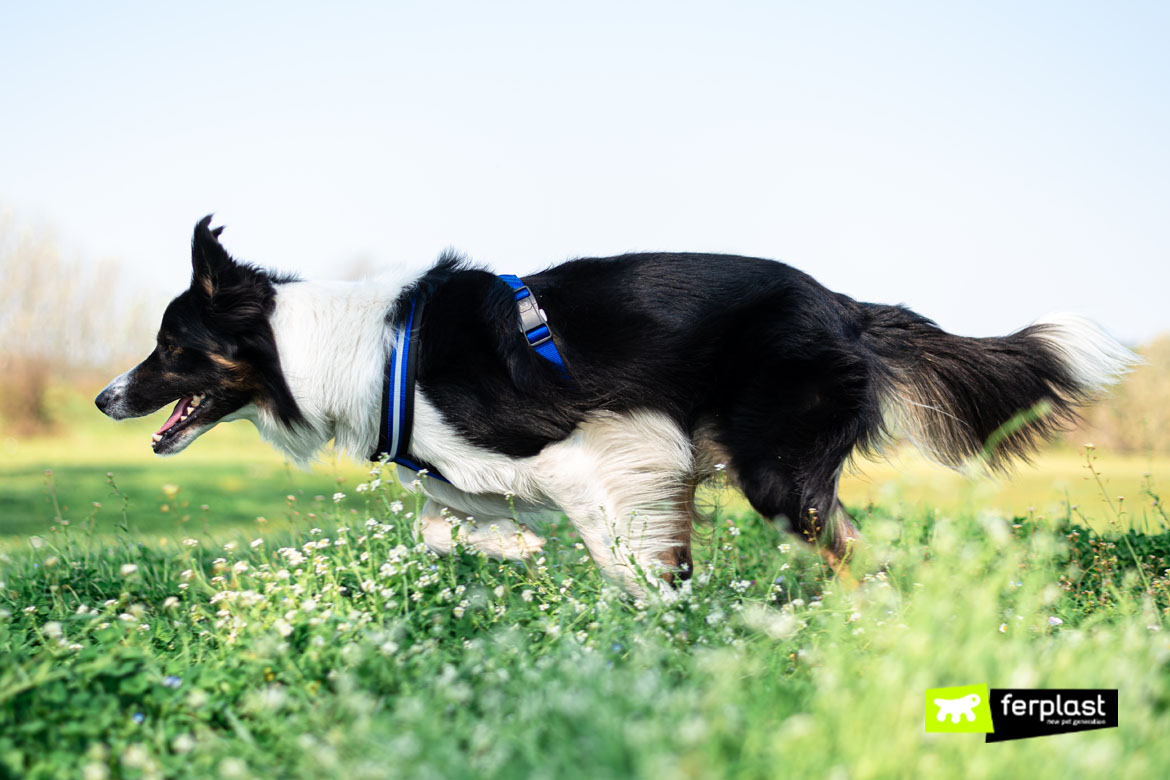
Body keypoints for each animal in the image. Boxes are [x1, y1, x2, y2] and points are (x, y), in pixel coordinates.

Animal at [95, 216, 1137, 594]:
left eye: (171, 346)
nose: (107, 397)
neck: (366, 351)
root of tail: (842, 305)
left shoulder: (598, 447)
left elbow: (611, 541)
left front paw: (651, 611)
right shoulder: (468, 471)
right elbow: (441, 521)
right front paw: (511, 552)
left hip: (773, 469)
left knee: (850, 552)